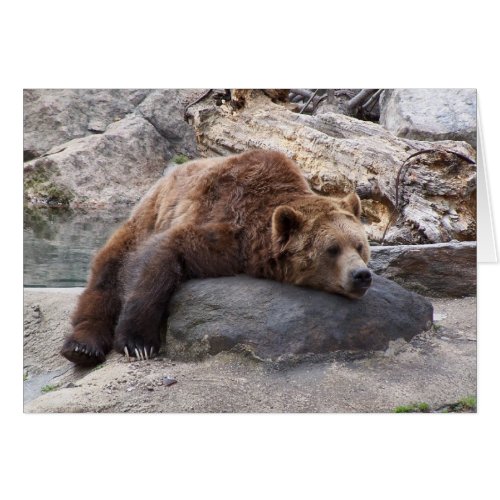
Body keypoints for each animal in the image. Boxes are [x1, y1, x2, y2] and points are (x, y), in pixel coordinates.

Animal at [60, 150, 372, 366]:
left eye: (359, 246)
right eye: (333, 248)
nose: (362, 275)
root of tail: (162, 179)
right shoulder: (225, 228)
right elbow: (160, 255)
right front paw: (138, 343)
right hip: (142, 221)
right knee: (107, 275)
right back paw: (82, 346)